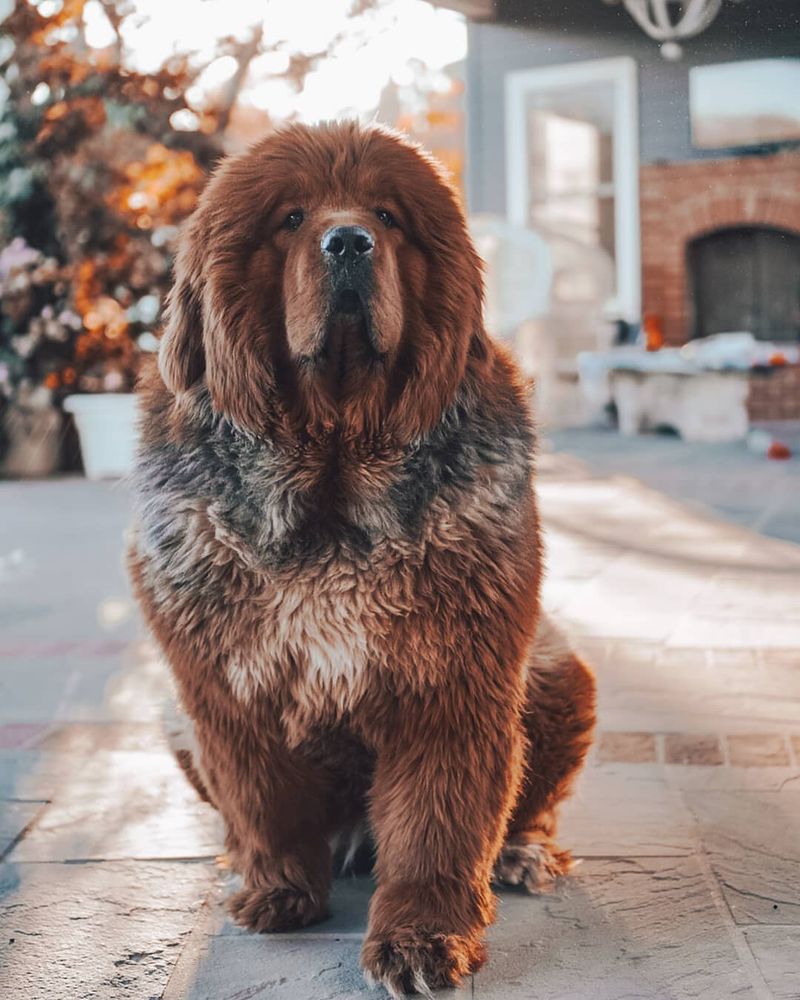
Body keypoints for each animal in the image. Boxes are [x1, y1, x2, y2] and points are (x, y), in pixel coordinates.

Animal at [130, 121, 592, 996]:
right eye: (290, 217)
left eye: (387, 214)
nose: (349, 241)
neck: (333, 478)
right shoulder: (224, 691)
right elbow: (265, 803)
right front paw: (278, 887)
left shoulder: (453, 682)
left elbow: (437, 826)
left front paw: (422, 936)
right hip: (174, 719)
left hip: (559, 673)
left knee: (532, 802)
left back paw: (523, 853)